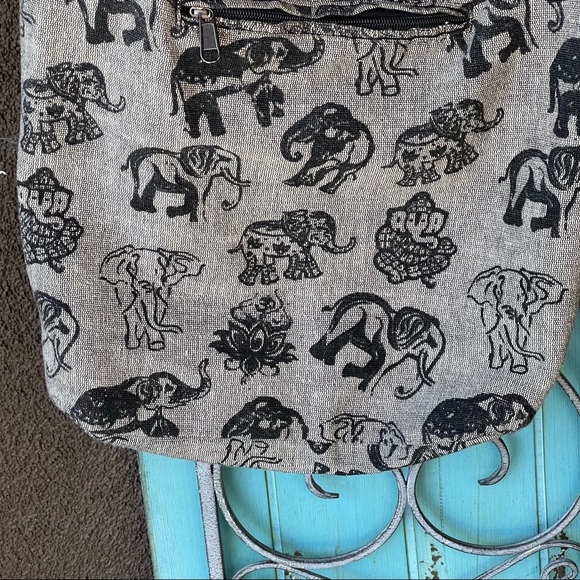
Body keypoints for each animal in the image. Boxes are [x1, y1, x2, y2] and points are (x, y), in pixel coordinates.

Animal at [122, 145, 251, 222]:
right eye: (225, 160)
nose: (225, 204)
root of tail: (134, 155)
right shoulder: (198, 177)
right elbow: (199, 195)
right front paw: (200, 221)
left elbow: (194, 196)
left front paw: (173, 212)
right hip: (146, 169)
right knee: (142, 186)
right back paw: (140, 208)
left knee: (149, 188)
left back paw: (150, 210)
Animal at [170, 36, 325, 137]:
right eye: (282, 54)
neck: (257, 42)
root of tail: (175, 70)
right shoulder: (248, 72)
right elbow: (258, 94)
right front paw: (266, 124)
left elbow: (269, 88)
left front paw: (278, 114)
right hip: (191, 85)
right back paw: (209, 134)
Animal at [309, 292, 446, 398]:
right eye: (431, 341)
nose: (399, 389)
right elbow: (381, 366)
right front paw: (364, 390)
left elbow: (378, 364)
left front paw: (352, 375)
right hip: (349, 318)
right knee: (333, 333)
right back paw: (319, 355)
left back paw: (328, 360)